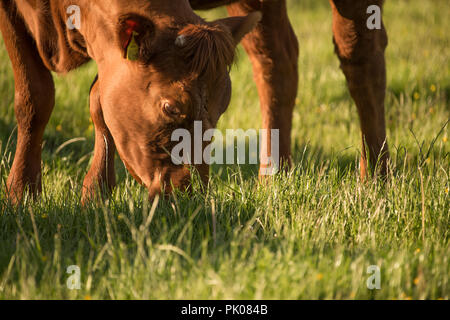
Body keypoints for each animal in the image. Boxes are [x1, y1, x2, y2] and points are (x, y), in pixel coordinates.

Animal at [0, 0, 388, 204]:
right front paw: (25, 194)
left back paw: (375, 178)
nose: (189, 190)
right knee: (276, 59)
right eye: (170, 107)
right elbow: (39, 98)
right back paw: (273, 177)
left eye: (221, 110)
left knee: (360, 52)